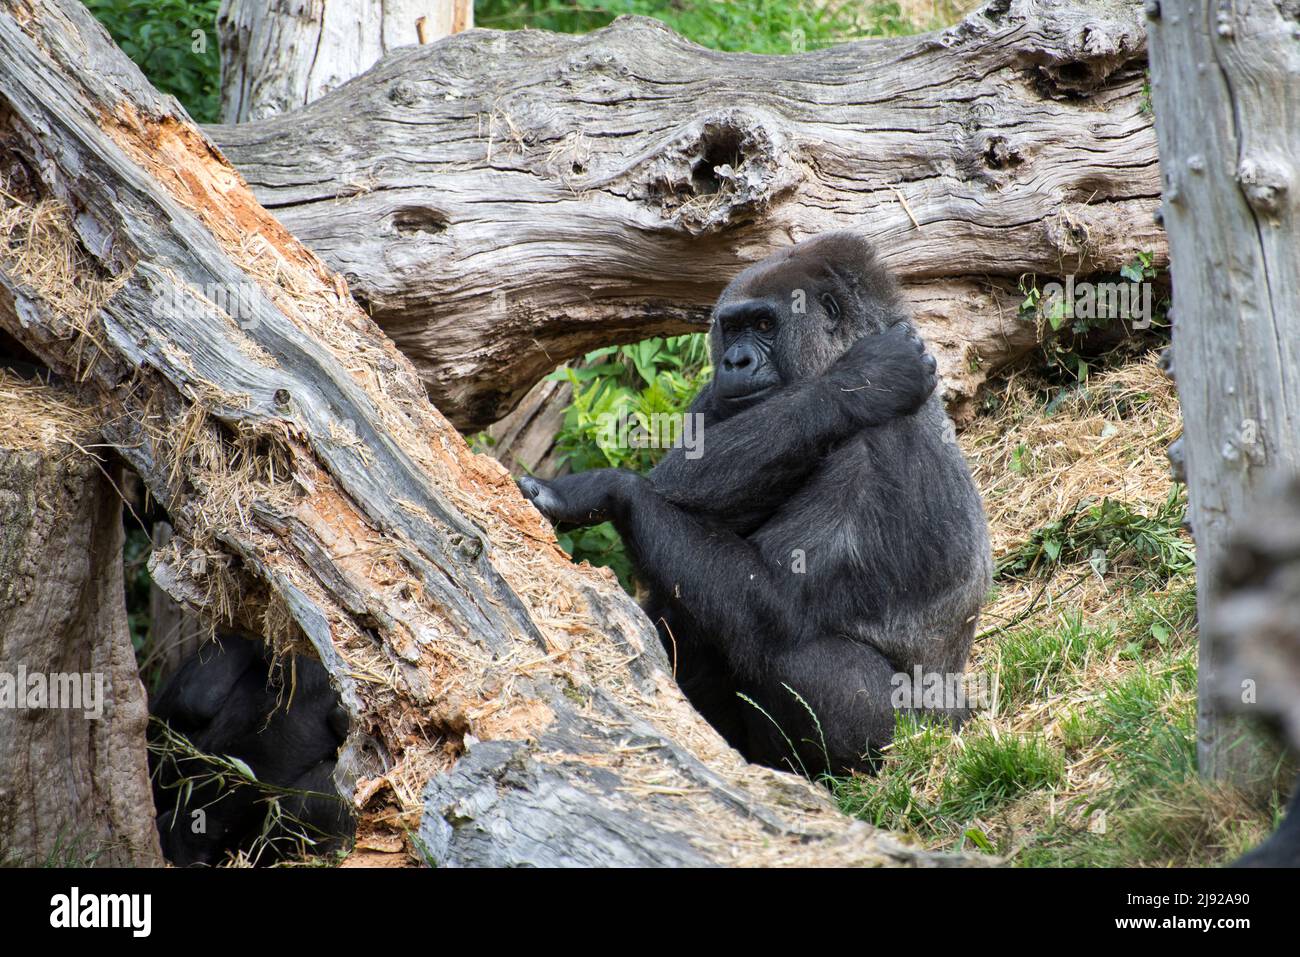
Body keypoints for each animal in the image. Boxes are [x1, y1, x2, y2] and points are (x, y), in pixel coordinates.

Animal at [517, 231, 982, 780]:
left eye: (764, 325)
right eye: (733, 327)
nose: (735, 362)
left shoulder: (873, 453)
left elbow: (775, 602)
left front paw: (607, 488)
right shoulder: (713, 398)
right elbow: (690, 489)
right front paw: (865, 382)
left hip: (918, 739)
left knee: (796, 654)